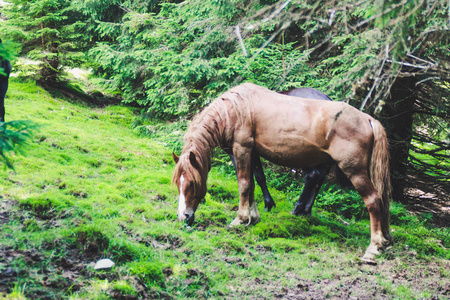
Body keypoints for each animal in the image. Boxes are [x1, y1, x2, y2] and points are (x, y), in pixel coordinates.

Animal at [174, 82, 392, 262]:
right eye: (178, 183)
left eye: (192, 184)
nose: (184, 217)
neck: (234, 109)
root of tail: (367, 119)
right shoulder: (252, 153)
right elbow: (254, 181)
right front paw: (253, 217)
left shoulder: (241, 149)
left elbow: (244, 184)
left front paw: (240, 218)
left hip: (354, 171)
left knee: (373, 200)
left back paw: (373, 247)